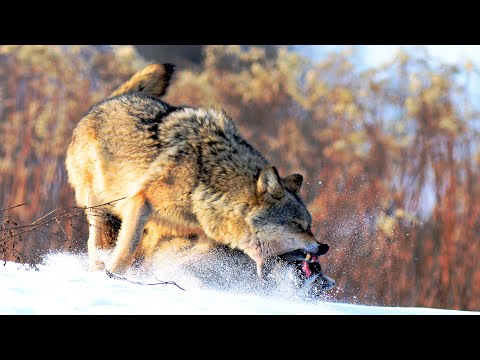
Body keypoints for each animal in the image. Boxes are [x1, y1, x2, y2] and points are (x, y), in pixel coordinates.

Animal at [64, 62, 334, 292]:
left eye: (309, 226)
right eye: (299, 226)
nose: (323, 247)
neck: (206, 183)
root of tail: (108, 101)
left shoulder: (198, 236)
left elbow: (187, 258)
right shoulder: (141, 202)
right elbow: (128, 248)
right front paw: (115, 277)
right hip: (98, 207)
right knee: (95, 243)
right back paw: (98, 269)